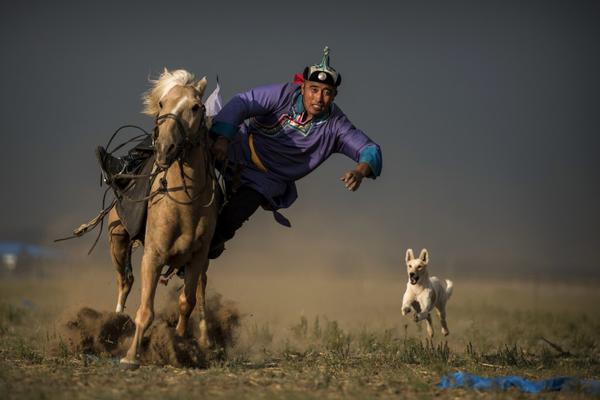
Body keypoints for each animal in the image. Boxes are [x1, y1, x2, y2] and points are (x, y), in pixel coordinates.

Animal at [106, 69, 219, 368]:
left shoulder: (198, 255)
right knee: (125, 281)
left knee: (201, 290)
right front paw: (130, 356)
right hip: (117, 240)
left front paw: (180, 344)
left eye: (196, 107)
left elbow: (187, 302)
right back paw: (117, 320)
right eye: (162, 103)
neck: (184, 202)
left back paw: (207, 341)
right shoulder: (153, 255)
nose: (165, 148)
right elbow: (145, 310)